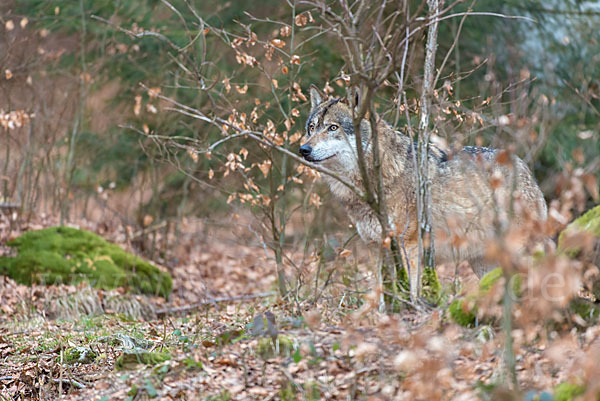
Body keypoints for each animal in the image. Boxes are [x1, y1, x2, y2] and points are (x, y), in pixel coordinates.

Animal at [300, 85, 548, 276]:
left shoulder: (407, 246)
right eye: (311, 128)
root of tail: (526, 168)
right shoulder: (376, 248)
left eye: (333, 127)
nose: (303, 149)